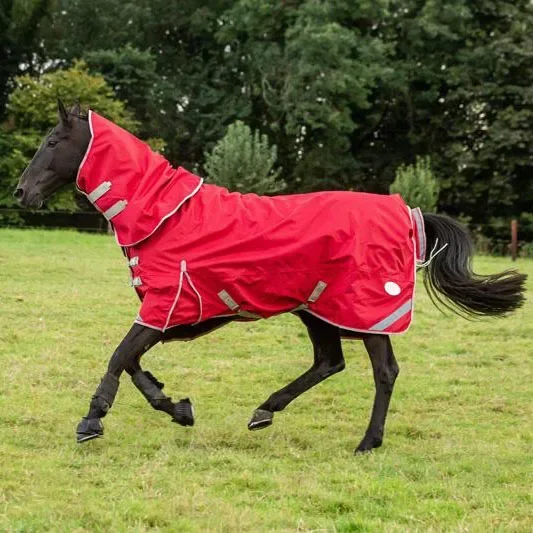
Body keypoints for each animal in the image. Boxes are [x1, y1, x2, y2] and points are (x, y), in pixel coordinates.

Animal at [12, 103, 524, 454]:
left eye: (52, 142)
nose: (20, 191)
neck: (167, 217)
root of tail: (407, 210)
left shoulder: (167, 307)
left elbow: (120, 356)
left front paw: (92, 421)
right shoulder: (173, 316)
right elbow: (134, 363)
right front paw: (177, 407)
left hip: (366, 312)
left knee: (384, 372)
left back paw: (367, 442)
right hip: (317, 309)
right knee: (328, 362)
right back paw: (264, 411)